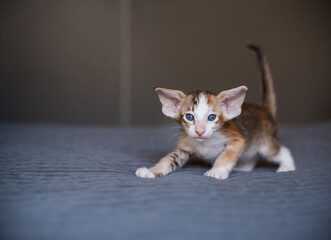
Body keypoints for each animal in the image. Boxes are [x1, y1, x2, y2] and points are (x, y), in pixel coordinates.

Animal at [135, 44, 296, 179]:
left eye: (211, 117)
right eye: (189, 117)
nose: (199, 131)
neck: (206, 144)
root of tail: (264, 110)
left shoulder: (237, 140)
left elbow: (226, 155)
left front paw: (217, 171)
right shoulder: (184, 148)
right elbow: (169, 159)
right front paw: (151, 171)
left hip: (265, 144)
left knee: (282, 151)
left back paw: (287, 166)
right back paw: (243, 167)